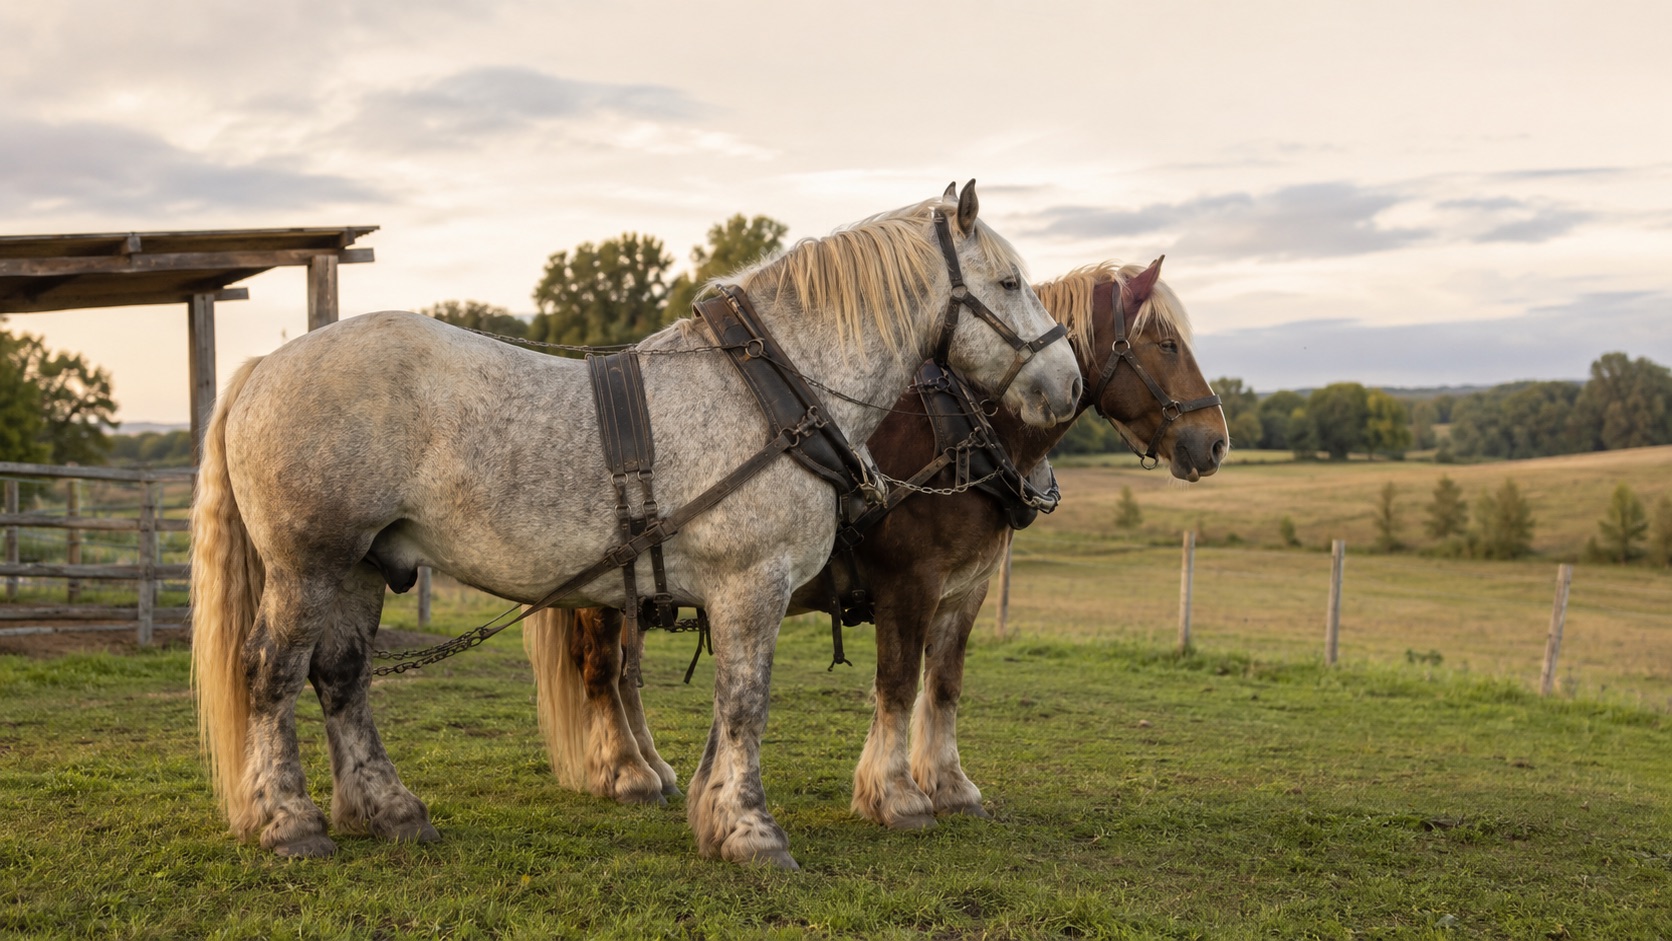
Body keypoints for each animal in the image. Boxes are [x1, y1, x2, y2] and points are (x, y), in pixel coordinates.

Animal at [189, 182, 1084, 869]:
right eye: (1009, 281)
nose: (1069, 382)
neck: (773, 390)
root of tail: (265, 365)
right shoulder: (751, 587)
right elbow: (747, 705)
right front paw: (752, 831)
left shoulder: (735, 597)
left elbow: (728, 712)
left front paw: (713, 813)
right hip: (307, 566)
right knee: (272, 675)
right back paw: (288, 820)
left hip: (363, 567)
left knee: (343, 677)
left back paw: (389, 809)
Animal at [525, 259, 1227, 831]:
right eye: (1166, 344)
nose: (1215, 441)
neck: (964, 432)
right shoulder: (910, 584)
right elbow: (897, 682)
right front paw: (894, 795)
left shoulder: (965, 591)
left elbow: (943, 684)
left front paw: (949, 785)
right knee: (602, 671)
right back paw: (626, 771)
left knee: (625, 675)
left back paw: (651, 765)